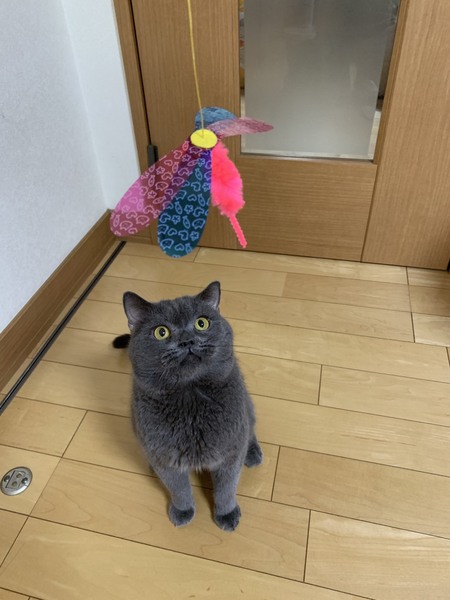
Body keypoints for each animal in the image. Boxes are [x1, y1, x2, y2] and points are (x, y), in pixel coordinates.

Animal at [113, 281, 262, 531]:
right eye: (161, 332)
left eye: (201, 323)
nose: (187, 340)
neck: (190, 395)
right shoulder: (165, 456)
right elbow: (179, 488)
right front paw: (182, 511)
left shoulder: (229, 453)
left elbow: (226, 488)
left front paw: (226, 514)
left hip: (245, 407)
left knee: (249, 429)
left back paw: (251, 453)